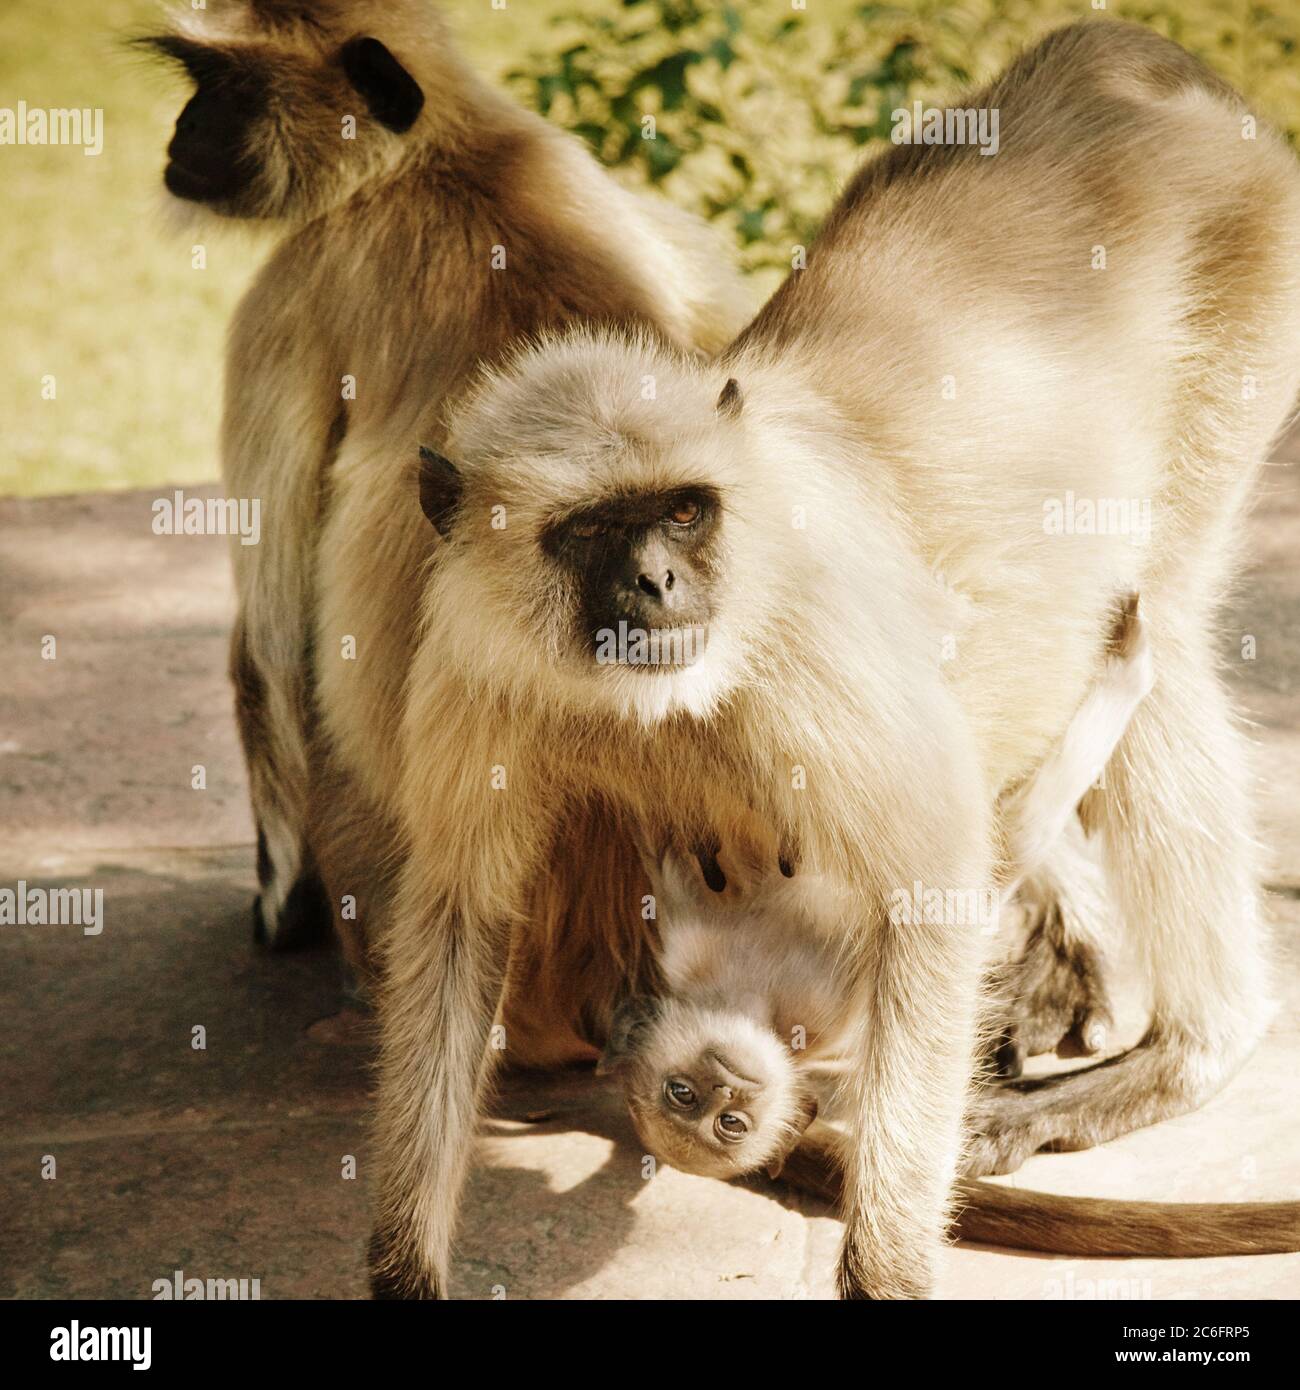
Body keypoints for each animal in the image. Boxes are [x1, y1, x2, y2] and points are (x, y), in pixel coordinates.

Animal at [600, 594, 1156, 1184]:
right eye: (706, 1110)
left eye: (692, 1099)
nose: (726, 1086)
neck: (754, 1002)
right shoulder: (834, 1013)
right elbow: (989, 863)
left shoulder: (688, 948)